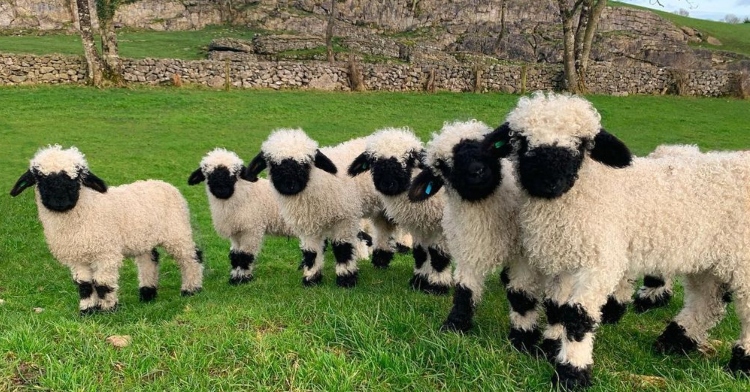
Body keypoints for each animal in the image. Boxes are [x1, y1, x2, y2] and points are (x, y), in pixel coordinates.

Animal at [11, 145, 206, 314]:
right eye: (40, 178)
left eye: (77, 177)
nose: (60, 201)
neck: (85, 210)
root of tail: (163, 183)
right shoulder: (77, 257)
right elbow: (84, 285)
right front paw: (87, 310)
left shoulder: (106, 253)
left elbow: (102, 283)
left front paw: (107, 309)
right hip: (144, 238)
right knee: (149, 260)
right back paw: (147, 294)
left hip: (177, 231)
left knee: (191, 257)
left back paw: (191, 289)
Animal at [189, 147, 296, 284]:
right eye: (207, 175)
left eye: (234, 174)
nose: (221, 191)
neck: (245, 195)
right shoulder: (236, 231)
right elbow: (235, 256)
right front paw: (235, 278)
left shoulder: (252, 230)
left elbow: (245, 256)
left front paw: (243, 279)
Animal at [245, 130, 400, 286]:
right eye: (272, 163)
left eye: (306, 163)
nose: (289, 185)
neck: (318, 181)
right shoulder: (308, 225)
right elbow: (311, 252)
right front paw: (311, 279)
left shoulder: (345, 218)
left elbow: (342, 248)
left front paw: (346, 278)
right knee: (384, 229)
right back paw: (381, 261)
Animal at [348, 126, 452, 294]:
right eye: (373, 161)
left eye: (409, 160)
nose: (387, 184)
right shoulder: (420, 227)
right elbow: (421, 253)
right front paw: (419, 282)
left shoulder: (441, 228)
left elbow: (438, 257)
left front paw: (437, 286)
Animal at [482, 92, 750, 388]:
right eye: (521, 140)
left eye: (582, 144)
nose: (547, 182)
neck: (587, 190)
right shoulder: (564, 256)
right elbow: (556, 307)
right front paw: (550, 346)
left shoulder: (599, 262)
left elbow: (577, 316)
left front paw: (571, 372)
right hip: (709, 258)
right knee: (707, 302)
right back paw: (674, 341)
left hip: (743, 260)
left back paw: (741, 364)